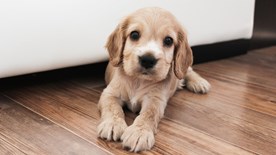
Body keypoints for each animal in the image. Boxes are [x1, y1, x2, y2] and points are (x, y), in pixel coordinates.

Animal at [97, 7, 209, 153]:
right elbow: (113, 108)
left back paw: (199, 83)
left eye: (168, 40)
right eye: (134, 35)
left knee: (188, 71)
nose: (147, 59)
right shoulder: (110, 93)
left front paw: (139, 133)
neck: (138, 80)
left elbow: (148, 114)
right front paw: (112, 123)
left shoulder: (155, 100)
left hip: (181, 70)